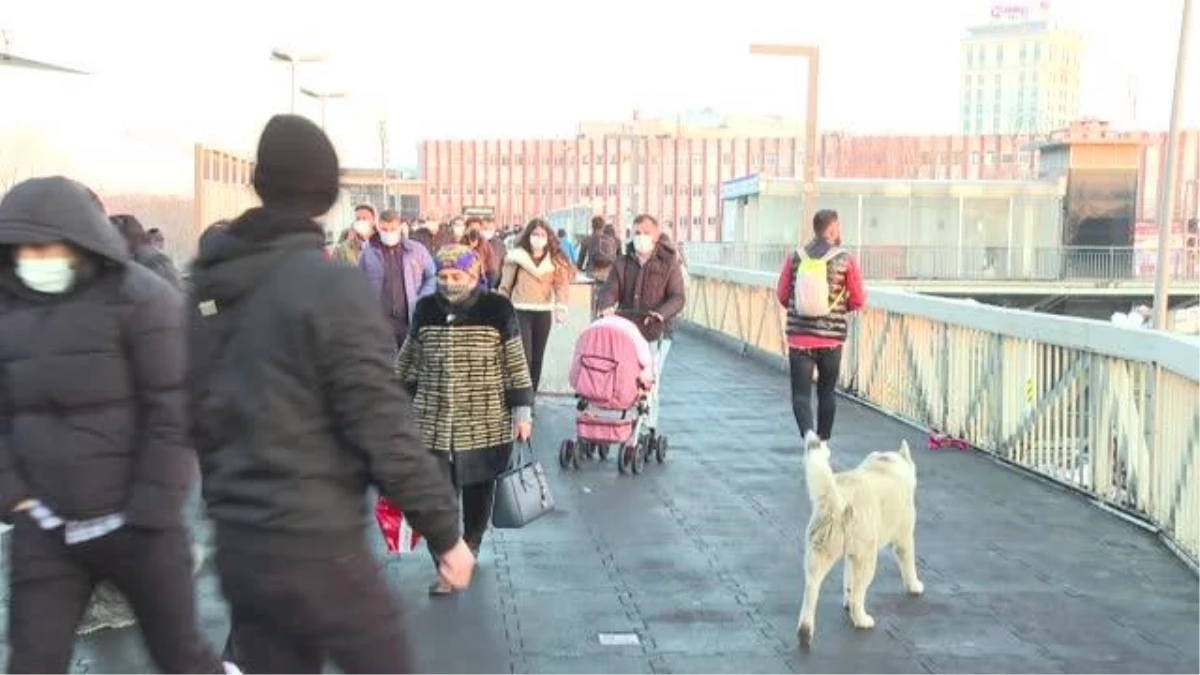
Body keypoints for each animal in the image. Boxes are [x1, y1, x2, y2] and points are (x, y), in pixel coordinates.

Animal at [796, 429, 926, 648]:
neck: (886, 464)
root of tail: (837, 500)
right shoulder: (903, 535)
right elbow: (908, 561)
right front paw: (915, 586)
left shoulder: (852, 553)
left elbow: (848, 578)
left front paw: (846, 600)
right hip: (866, 554)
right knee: (859, 591)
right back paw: (862, 619)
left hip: (819, 548)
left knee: (811, 587)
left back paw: (805, 632)